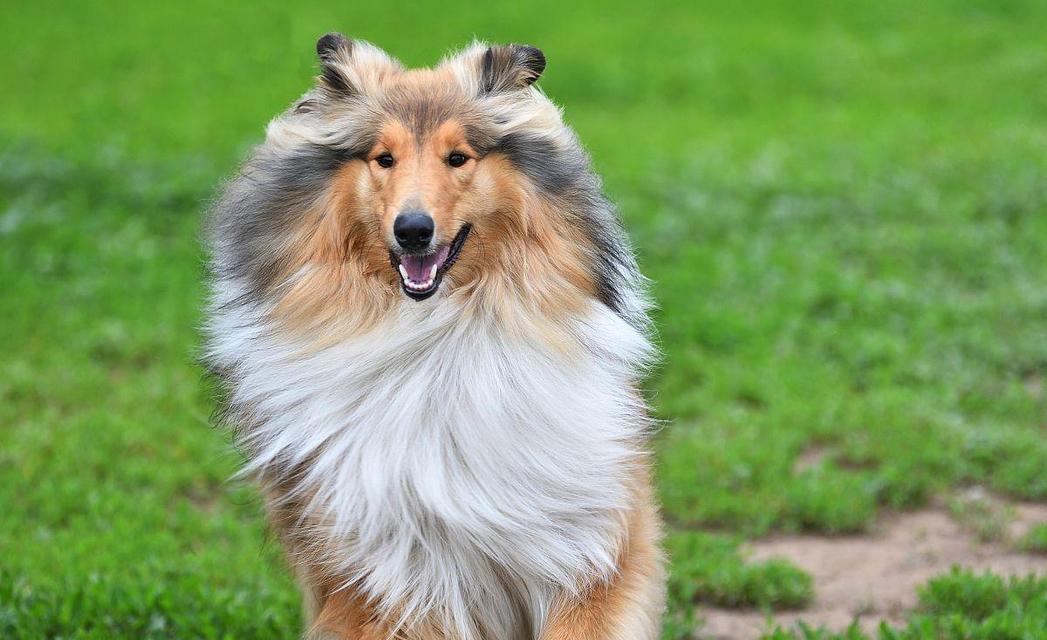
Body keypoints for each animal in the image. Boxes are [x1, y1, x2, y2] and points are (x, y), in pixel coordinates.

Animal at [204, 35, 661, 640]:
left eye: (458, 157)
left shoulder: (594, 545)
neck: (437, 336)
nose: (413, 230)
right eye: (384, 158)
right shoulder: (385, 580)